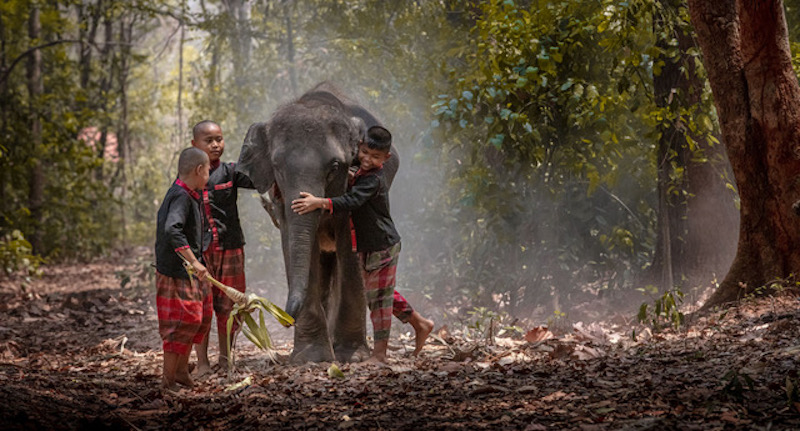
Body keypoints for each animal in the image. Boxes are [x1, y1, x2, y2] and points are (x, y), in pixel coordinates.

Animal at [236, 82, 398, 363]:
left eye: (334, 166)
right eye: (277, 165)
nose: (285, 318)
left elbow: (350, 250)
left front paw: (351, 356)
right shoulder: (280, 202)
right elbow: (296, 247)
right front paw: (311, 358)